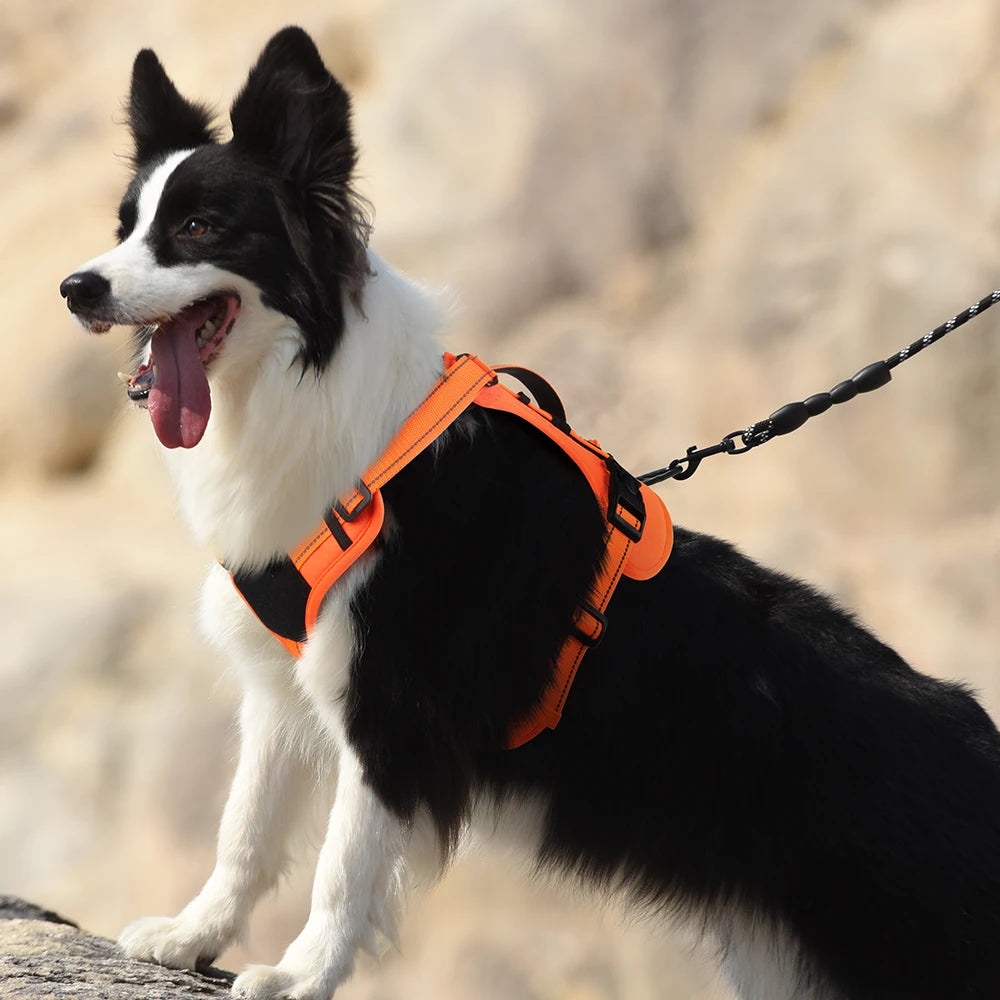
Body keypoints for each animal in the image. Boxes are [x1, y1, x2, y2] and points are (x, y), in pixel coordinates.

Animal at [60, 25, 1000, 1000]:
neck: (319, 398)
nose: (75, 288)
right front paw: (193, 933)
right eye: (126, 226)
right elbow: (244, 831)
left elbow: (341, 866)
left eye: (198, 227)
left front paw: (300, 974)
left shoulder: (393, 712)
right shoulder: (282, 693)